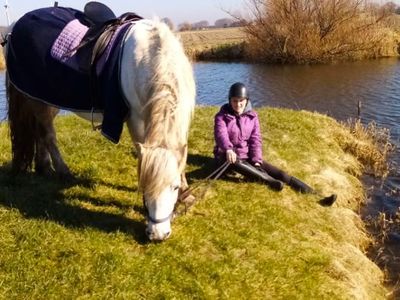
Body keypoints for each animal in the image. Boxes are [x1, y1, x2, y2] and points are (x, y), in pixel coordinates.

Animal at [4, 2, 195, 241]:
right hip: (37, 99)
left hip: (47, 99)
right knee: (48, 135)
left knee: (40, 132)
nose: (158, 235)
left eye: (174, 187)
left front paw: (186, 195)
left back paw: (44, 168)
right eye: (144, 186)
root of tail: (14, 29)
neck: (149, 58)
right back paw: (62, 171)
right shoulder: (135, 119)